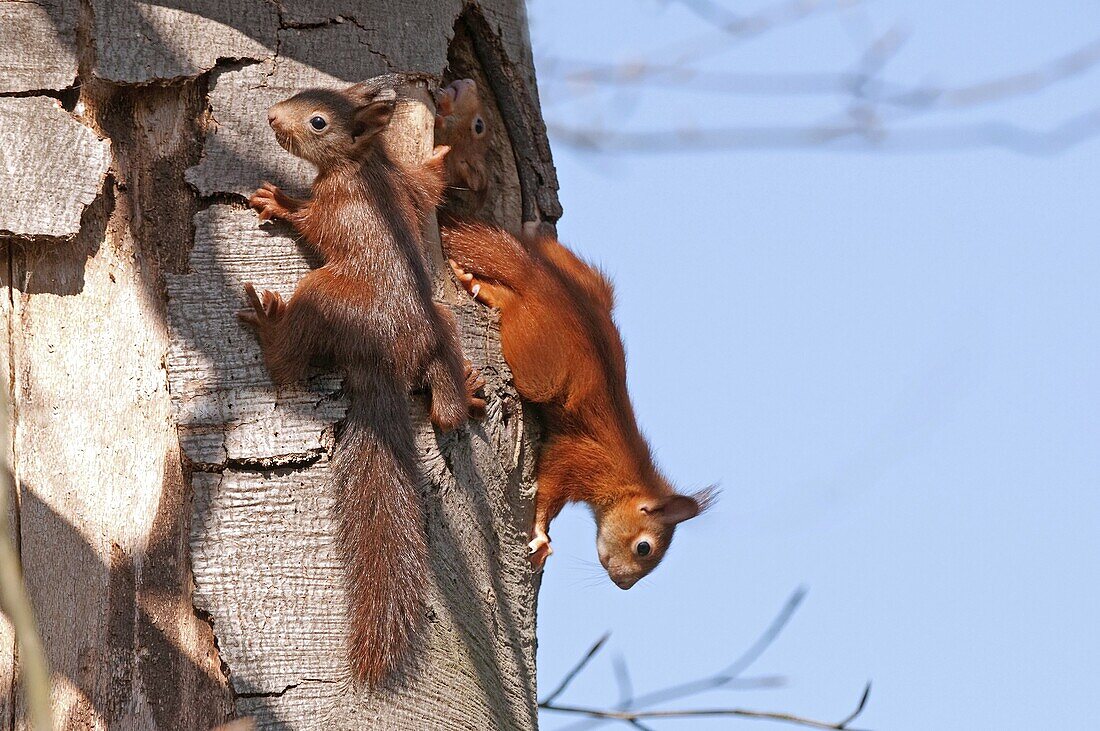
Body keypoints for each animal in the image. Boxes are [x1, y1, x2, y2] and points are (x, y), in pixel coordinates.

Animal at [238, 75, 484, 685]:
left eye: (318, 121)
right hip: (442, 326)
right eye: (306, 90)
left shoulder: (338, 208)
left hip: (321, 294)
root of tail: (386, 355)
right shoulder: (407, 190)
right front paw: (439, 157)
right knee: (443, 411)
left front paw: (278, 200)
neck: (363, 167)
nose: (272, 116)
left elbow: (309, 220)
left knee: (289, 360)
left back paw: (269, 326)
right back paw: (466, 392)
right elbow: (426, 185)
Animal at [433, 79, 708, 589]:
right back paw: (478, 285)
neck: (627, 476)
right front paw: (541, 538)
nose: (624, 585)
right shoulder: (581, 459)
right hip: (539, 359)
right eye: (644, 548)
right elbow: (547, 491)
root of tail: (547, 282)